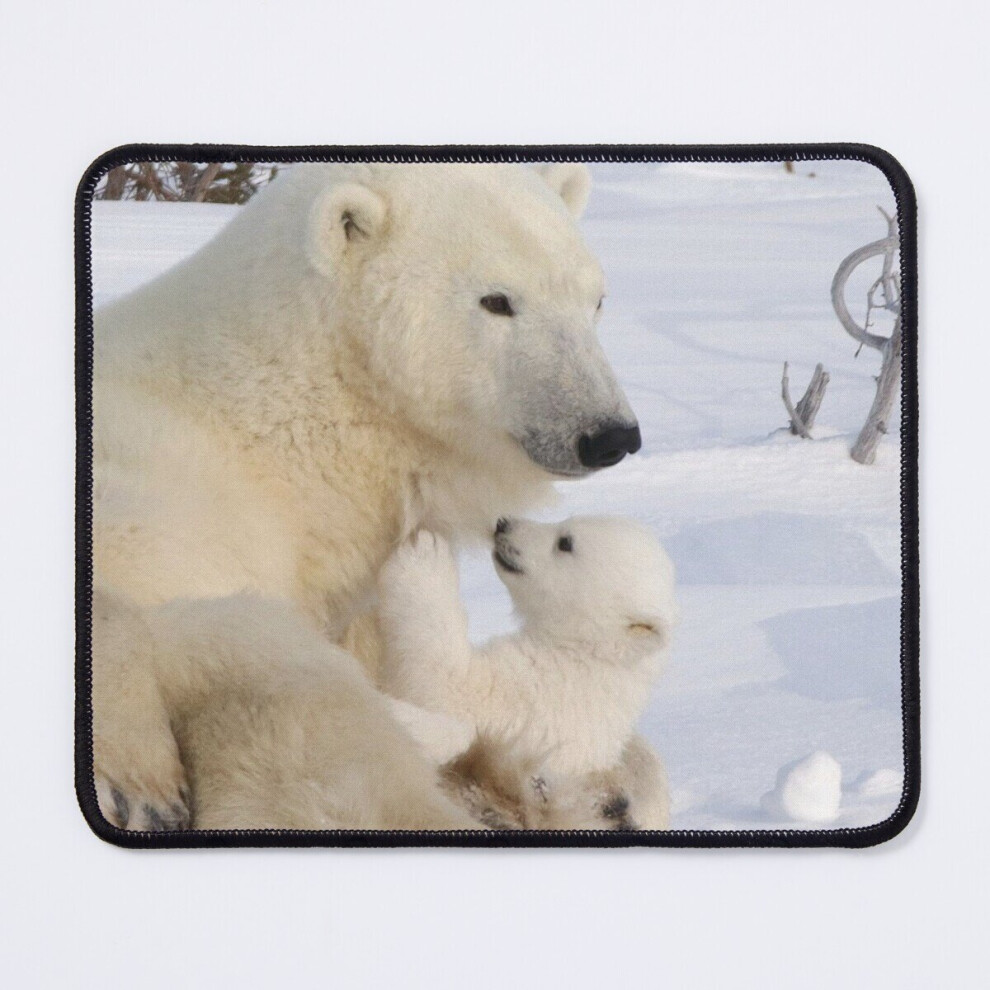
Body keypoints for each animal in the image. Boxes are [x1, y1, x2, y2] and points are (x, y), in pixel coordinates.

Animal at [376, 518, 678, 829]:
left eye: (565, 542)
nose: (503, 524)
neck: (591, 653)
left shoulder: (546, 697)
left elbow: (456, 691)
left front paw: (426, 550)